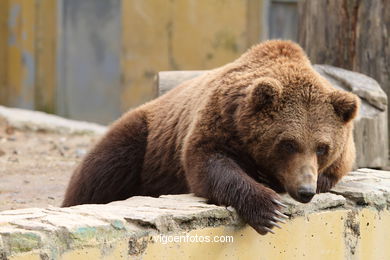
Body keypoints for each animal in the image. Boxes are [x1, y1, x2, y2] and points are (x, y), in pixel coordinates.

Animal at [63, 40, 360, 236]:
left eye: (322, 147)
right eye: (288, 143)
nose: (305, 190)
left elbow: (338, 168)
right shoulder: (221, 119)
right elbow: (208, 163)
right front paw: (269, 210)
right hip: (143, 140)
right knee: (99, 172)